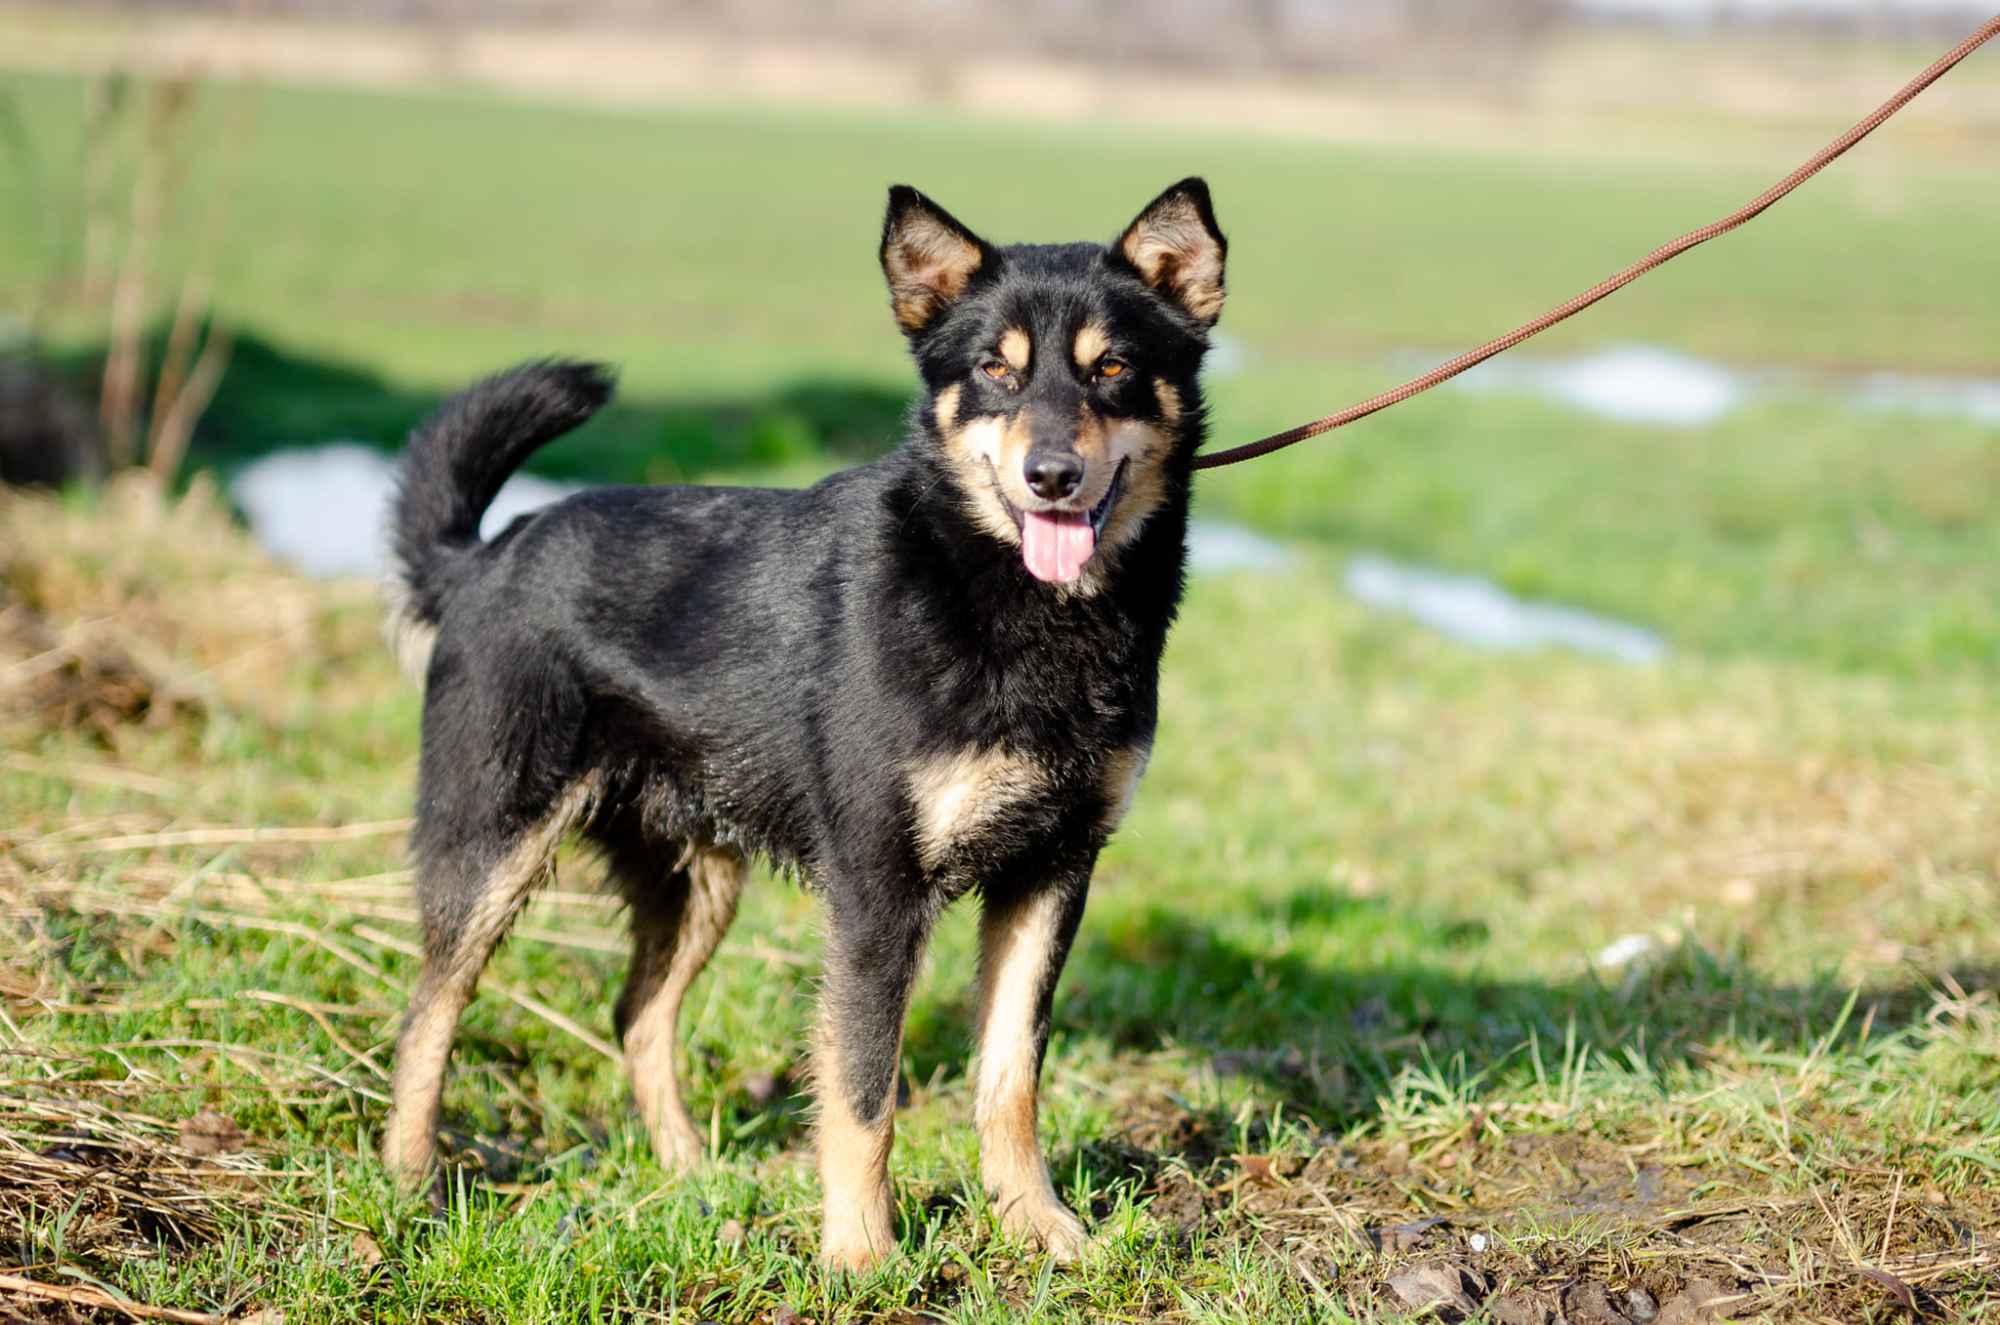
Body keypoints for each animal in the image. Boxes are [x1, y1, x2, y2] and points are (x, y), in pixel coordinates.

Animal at [374, 176, 1216, 1264]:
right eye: (995, 370)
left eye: (1111, 368)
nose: (1052, 478)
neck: (1011, 596)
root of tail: (482, 556)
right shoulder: (876, 892)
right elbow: (862, 1091)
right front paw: (861, 1255)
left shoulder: (1051, 870)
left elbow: (1009, 1078)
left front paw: (1037, 1225)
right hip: (492, 843)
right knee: (430, 1009)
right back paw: (410, 1182)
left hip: (697, 872)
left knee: (636, 1011)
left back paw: (692, 1173)